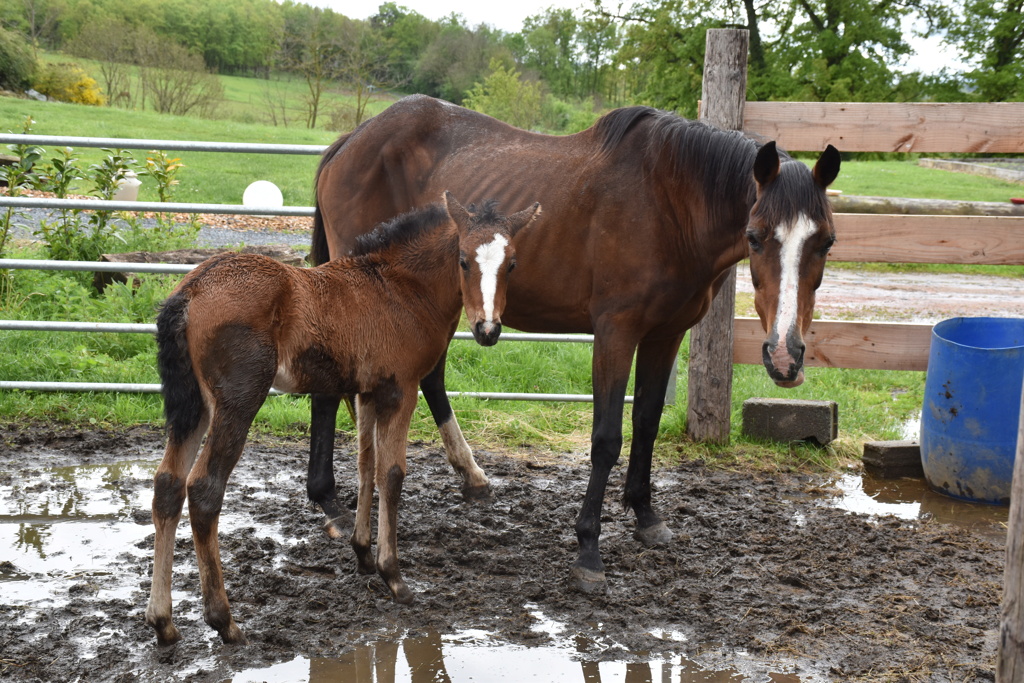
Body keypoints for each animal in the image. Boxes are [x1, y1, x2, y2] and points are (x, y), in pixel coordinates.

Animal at [147, 193, 544, 647]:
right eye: (463, 260)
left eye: (511, 264)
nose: (487, 329)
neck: (398, 287)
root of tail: (191, 291)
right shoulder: (401, 390)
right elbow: (392, 473)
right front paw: (394, 577)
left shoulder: (368, 392)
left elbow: (366, 466)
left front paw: (363, 554)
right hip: (237, 402)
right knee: (204, 489)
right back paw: (224, 620)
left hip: (192, 405)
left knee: (167, 485)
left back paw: (163, 622)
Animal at [309, 93, 839, 593]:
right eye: (755, 235)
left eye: (827, 242)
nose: (785, 356)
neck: (667, 202)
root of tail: (350, 142)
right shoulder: (616, 332)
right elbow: (606, 438)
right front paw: (588, 550)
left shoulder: (665, 334)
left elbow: (646, 422)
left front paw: (646, 516)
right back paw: (331, 504)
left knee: (431, 379)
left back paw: (470, 477)